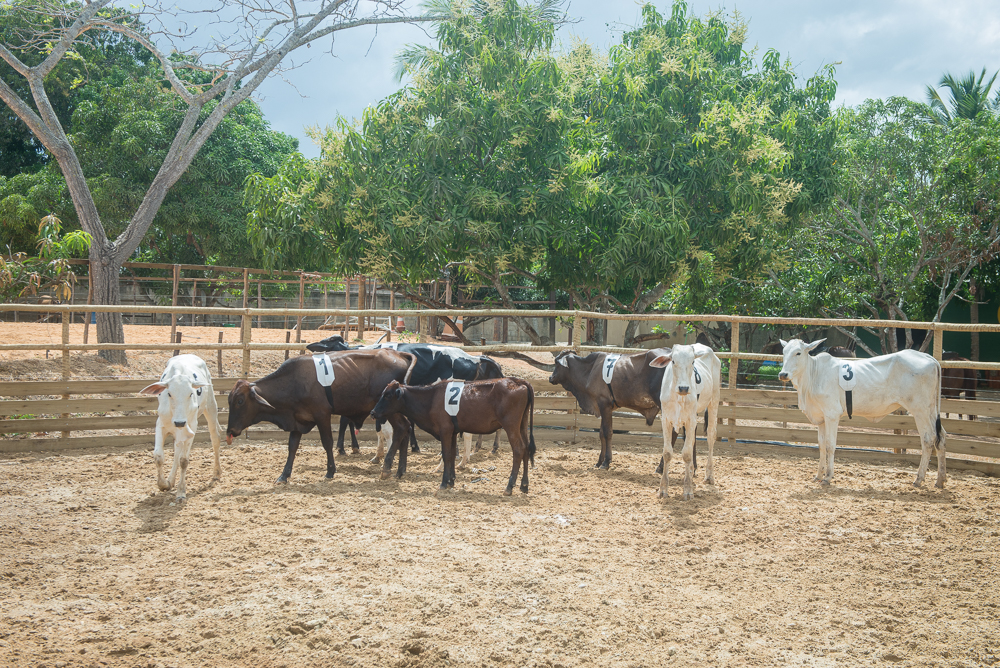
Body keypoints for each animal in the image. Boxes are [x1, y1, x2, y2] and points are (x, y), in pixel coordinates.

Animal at [141, 354, 223, 500]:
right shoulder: (160, 424)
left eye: (191, 393)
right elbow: (158, 456)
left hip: (211, 406)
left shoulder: (191, 426)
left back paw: (216, 472)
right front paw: (163, 484)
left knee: (215, 438)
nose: (179, 422)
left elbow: (184, 460)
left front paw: (181, 491)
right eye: (169, 393)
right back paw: (171, 480)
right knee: (177, 449)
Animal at [226, 348, 414, 482]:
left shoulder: (322, 415)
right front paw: (284, 475)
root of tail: (398, 353)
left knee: (401, 428)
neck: (294, 381)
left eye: (240, 401)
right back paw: (401, 470)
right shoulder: (298, 419)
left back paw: (387, 468)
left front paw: (330, 471)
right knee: (405, 429)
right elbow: (292, 446)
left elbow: (327, 442)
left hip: (389, 409)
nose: (230, 431)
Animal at [372, 380, 536, 496]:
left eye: (387, 395)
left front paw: (444, 483)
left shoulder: (445, 430)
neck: (431, 399)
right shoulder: (452, 432)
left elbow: (446, 455)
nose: (373, 412)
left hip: (511, 426)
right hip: (522, 425)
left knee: (518, 450)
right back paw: (524, 485)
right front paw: (451, 481)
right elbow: (451, 455)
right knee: (526, 448)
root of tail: (518, 382)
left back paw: (509, 487)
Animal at [544, 348, 692, 472]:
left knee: (672, 433)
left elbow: (608, 433)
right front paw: (599, 462)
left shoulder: (604, 404)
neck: (589, 369)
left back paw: (661, 467)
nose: (550, 378)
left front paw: (606, 462)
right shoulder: (603, 407)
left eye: (556, 363)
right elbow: (601, 433)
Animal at [780, 340, 944, 486]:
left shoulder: (832, 414)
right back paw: (940, 481)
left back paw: (919, 479)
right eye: (784, 352)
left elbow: (830, 445)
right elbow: (821, 445)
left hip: (920, 410)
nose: (783, 374)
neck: (813, 376)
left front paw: (827, 477)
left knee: (928, 439)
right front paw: (818, 475)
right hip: (931, 410)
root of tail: (928, 358)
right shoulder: (821, 418)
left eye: (798, 353)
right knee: (941, 437)